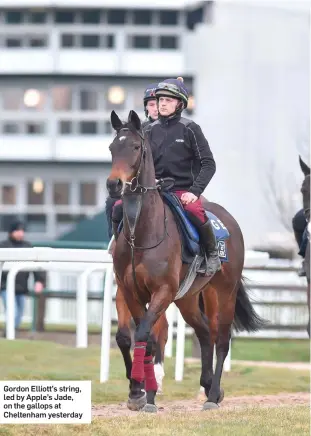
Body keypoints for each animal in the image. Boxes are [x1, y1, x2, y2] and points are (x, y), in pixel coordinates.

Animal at [106, 109, 266, 412]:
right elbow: (133, 336)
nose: (114, 184)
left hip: (222, 292)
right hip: (188, 298)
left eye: (135, 147)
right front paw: (139, 392)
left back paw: (213, 395)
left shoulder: (163, 291)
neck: (141, 235)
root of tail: (228, 219)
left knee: (221, 338)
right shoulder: (129, 289)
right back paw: (206, 384)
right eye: (111, 147)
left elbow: (145, 333)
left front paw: (142, 392)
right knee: (203, 332)